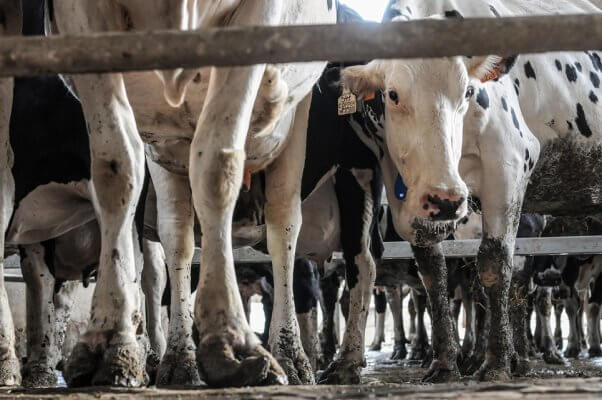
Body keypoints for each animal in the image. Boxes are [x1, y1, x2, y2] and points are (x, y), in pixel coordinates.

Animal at [338, 0, 600, 382]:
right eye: (393, 94)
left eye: (467, 92)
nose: (446, 199)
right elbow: (433, 276)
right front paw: (445, 363)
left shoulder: (509, 162)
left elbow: (493, 264)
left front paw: (495, 364)